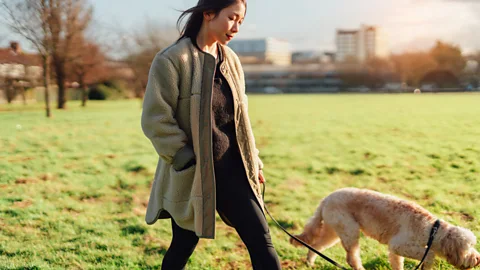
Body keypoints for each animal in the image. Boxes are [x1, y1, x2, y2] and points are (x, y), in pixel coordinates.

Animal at [288, 188, 480, 270]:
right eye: (468, 248)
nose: (477, 259)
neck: (432, 230)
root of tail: (325, 199)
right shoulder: (399, 245)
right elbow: (430, 254)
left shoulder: (395, 250)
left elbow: (397, 263)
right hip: (349, 231)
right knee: (352, 258)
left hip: (334, 231)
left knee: (317, 246)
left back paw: (310, 262)